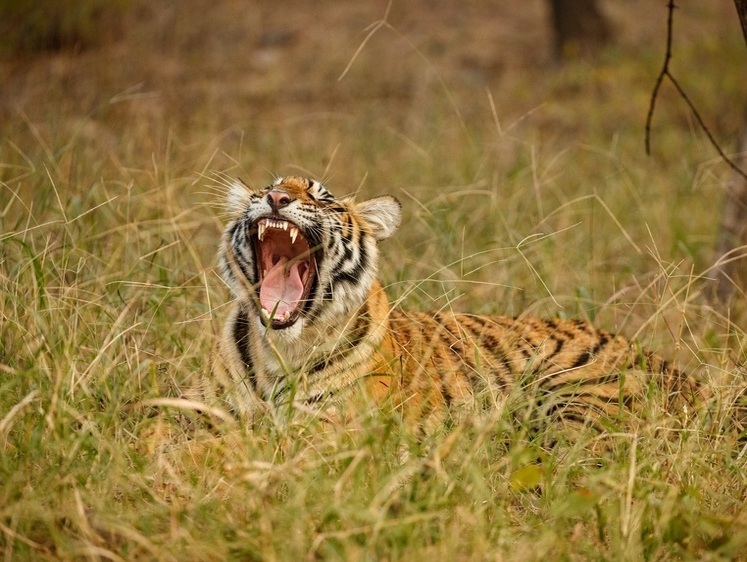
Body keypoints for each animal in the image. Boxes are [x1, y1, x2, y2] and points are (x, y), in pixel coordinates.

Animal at [209, 175, 708, 434]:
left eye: (320, 196)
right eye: (267, 187)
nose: (276, 197)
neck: (281, 348)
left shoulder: (331, 429)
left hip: (575, 395)